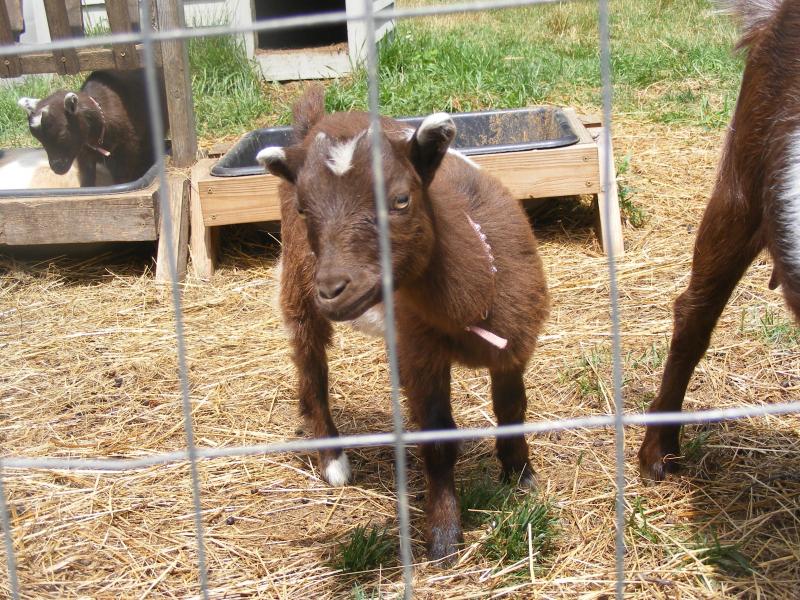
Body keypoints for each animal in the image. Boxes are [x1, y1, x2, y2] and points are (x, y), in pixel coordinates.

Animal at [18, 69, 167, 187]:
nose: (57, 168)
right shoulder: (84, 153)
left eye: (62, 135)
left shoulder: (129, 148)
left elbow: (123, 176)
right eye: (40, 140)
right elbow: (87, 179)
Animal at [257, 86, 550, 561]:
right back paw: (333, 460)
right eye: (304, 208)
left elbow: (512, 409)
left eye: (400, 199)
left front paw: (521, 476)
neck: (469, 307)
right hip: (298, 283)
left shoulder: (512, 342)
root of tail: (319, 120)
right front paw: (445, 534)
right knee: (310, 361)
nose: (334, 289)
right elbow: (438, 438)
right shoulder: (424, 357)